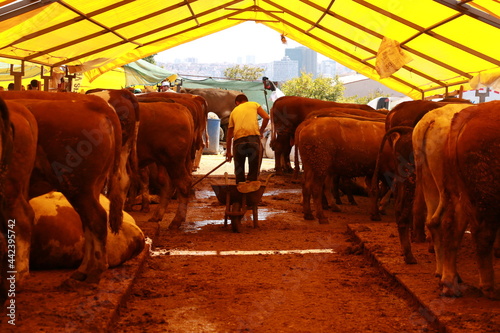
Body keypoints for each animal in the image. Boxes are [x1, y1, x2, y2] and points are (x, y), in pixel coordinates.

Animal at [0, 89, 123, 284]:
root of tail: (93, 103)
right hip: (89, 187)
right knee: (88, 222)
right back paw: (83, 270)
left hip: (74, 186)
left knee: (96, 218)